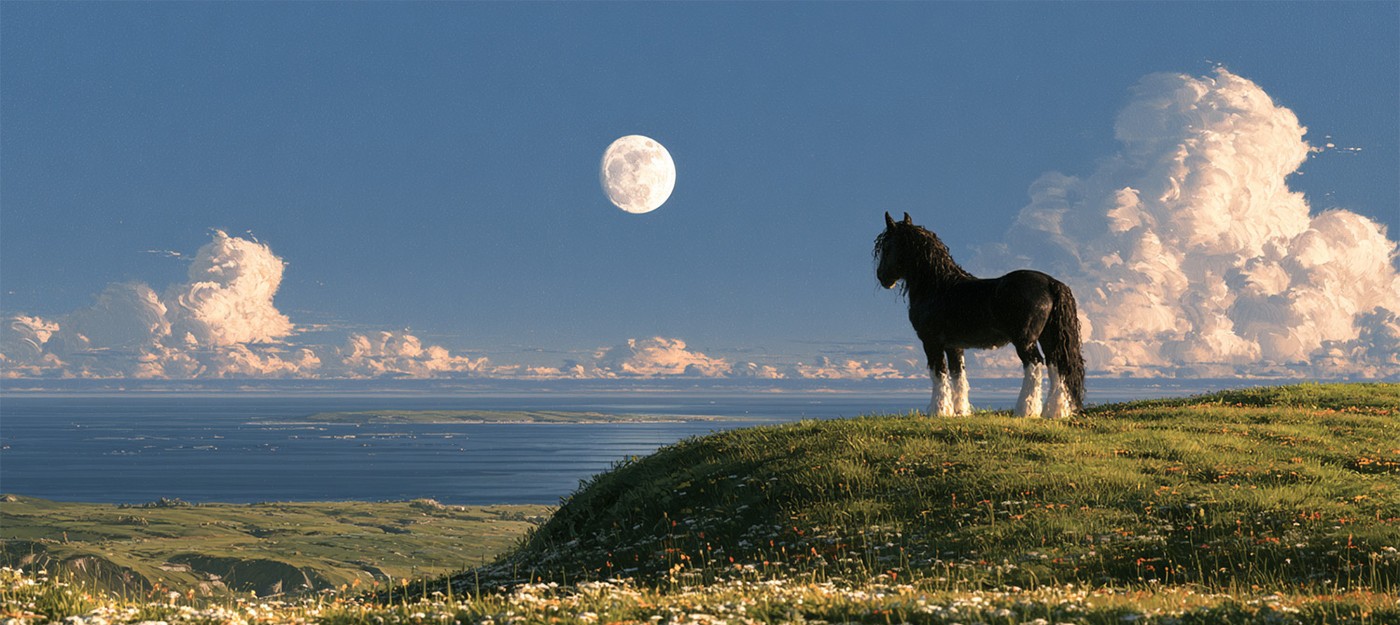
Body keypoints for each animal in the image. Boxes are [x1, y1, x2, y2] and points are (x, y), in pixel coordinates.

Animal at [874, 212, 1085, 418]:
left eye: (886, 247)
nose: (881, 277)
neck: (937, 287)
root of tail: (1050, 282)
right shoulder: (954, 346)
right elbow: (958, 376)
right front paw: (960, 412)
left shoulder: (932, 343)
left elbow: (938, 375)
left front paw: (938, 411)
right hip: (1048, 337)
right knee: (1056, 366)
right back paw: (1055, 412)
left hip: (1024, 341)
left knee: (1034, 365)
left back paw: (1025, 411)